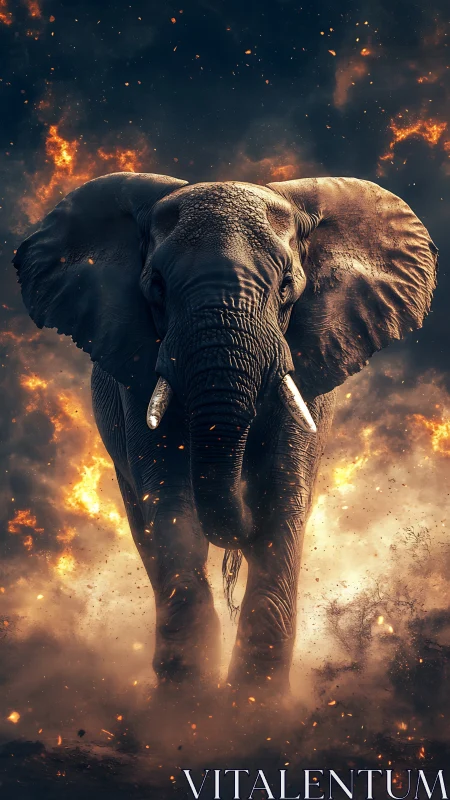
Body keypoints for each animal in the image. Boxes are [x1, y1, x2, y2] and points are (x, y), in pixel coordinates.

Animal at [14, 173, 437, 697]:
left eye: (287, 287)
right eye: (156, 287)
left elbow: (283, 502)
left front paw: (254, 707)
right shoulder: (138, 373)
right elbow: (172, 505)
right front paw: (189, 706)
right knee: (145, 525)